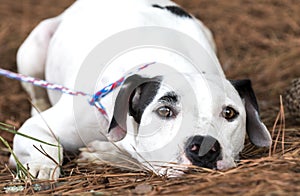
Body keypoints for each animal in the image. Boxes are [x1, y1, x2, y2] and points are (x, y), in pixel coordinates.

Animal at [9, 0, 272, 179]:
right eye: (164, 111)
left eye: (229, 113)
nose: (205, 148)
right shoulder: (35, 128)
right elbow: (42, 143)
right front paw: (41, 166)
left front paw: (102, 153)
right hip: (33, 48)